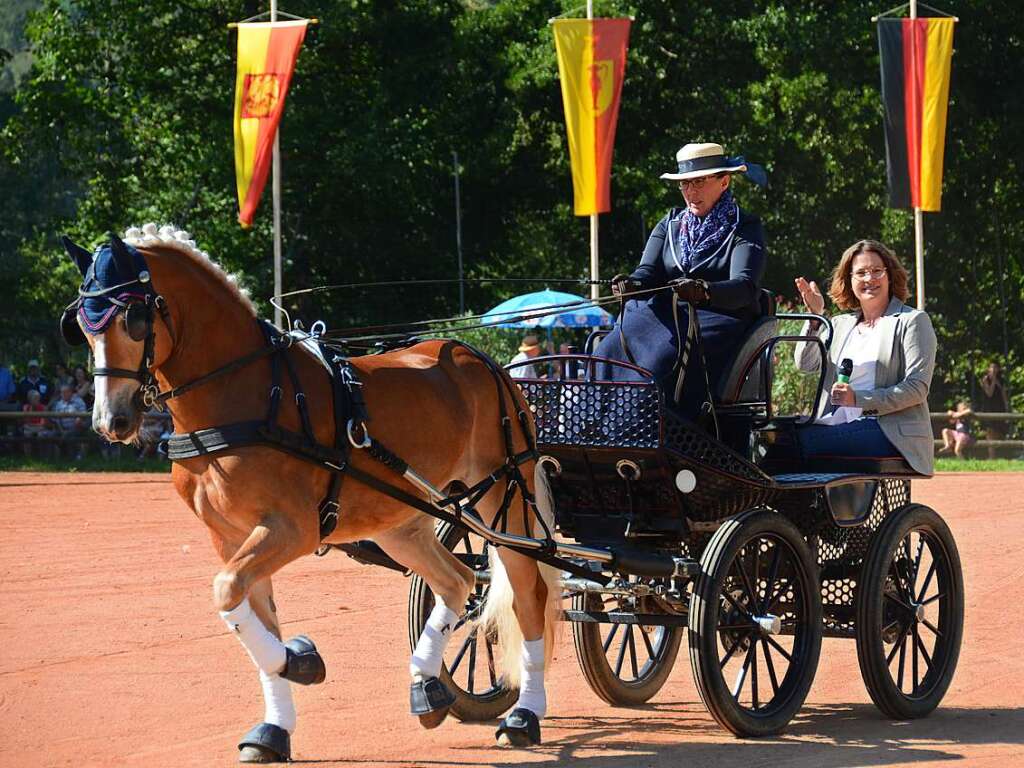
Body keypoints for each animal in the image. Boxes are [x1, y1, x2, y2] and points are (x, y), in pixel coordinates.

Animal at [61, 225, 561, 761]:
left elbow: (226, 590)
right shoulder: (232, 536)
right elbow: (251, 614)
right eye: (82, 325)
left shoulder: (292, 529)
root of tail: (482, 361)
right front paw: (278, 715)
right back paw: (427, 686)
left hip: (505, 499)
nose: (111, 422)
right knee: (458, 581)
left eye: (133, 319)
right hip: (400, 523)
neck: (246, 394)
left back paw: (525, 713)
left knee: (526, 597)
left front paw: (301, 660)